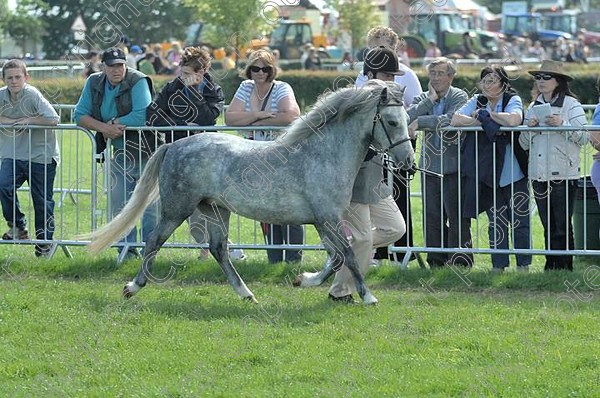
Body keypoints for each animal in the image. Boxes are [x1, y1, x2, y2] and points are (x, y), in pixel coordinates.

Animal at [89, 80, 414, 304]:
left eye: (407, 120)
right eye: (392, 121)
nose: (409, 163)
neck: (323, 154)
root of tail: (174, 145)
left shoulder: (323, 221)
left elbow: (336, 257)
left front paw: (303, 280)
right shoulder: (328, 218)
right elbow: (346, 254)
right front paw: (368, 296)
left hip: (215, 209)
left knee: (219, 249)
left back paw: (246, 294)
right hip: (177, 209)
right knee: (154, 241)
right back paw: (132, 288)